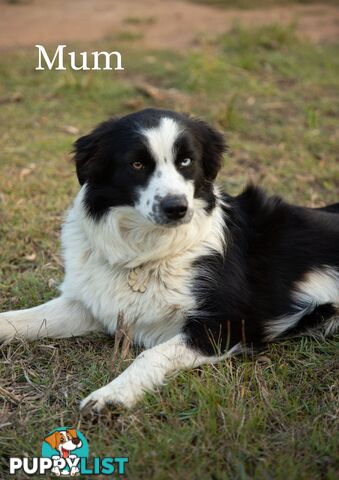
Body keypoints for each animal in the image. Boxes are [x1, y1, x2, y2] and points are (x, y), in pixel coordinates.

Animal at [0, 109, 339, 412]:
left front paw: (113, 395)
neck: (148, 251)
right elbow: (18, 318)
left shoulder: (228, 323)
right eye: (137, 163)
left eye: (186, 161)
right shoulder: (91, 305)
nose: (176, 208)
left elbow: (149, 355)